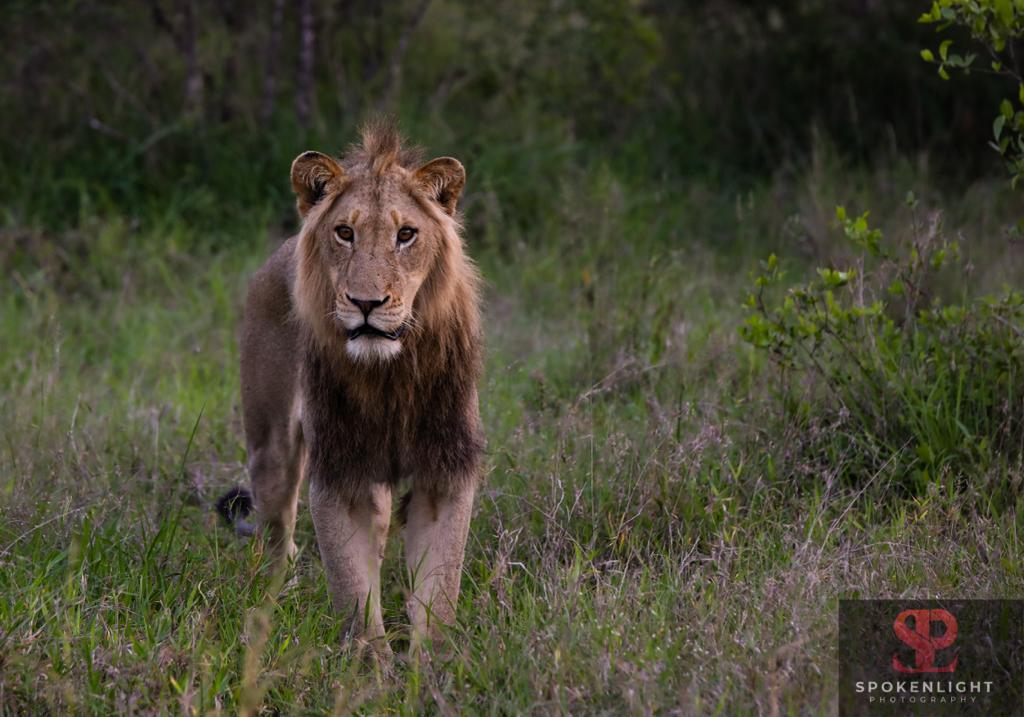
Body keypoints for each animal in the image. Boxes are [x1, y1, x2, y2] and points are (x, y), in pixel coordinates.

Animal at [217, 121, 484, 657]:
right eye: (345, 232)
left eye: (406, 235)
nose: (366, 303)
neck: (390, 375)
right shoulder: (342, 474)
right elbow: (353, 591)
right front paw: (370, 666)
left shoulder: (444, 467)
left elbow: (440, 588)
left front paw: (433, 665)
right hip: (271, 447)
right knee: (277, 536)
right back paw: (275, 601)